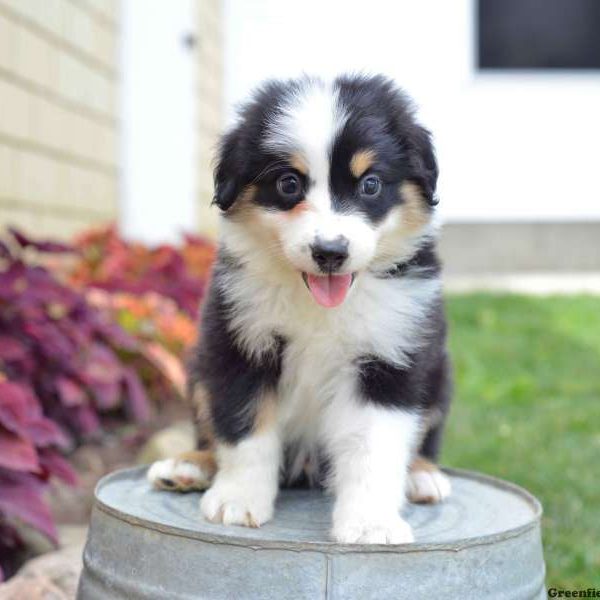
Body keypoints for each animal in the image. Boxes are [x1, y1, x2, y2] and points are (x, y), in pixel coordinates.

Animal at [149, 74, 450, 544]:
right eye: (288, 184)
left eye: (370, 184)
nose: (330, 252)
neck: (318, 305)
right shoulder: (239, 343)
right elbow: (244, 429)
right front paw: (238, 500)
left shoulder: (390, 357)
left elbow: (373, 445)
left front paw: (370, 524)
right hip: (198, 368)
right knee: (209, 429)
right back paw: (187, 467)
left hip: (437, 375)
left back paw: (423, 475)